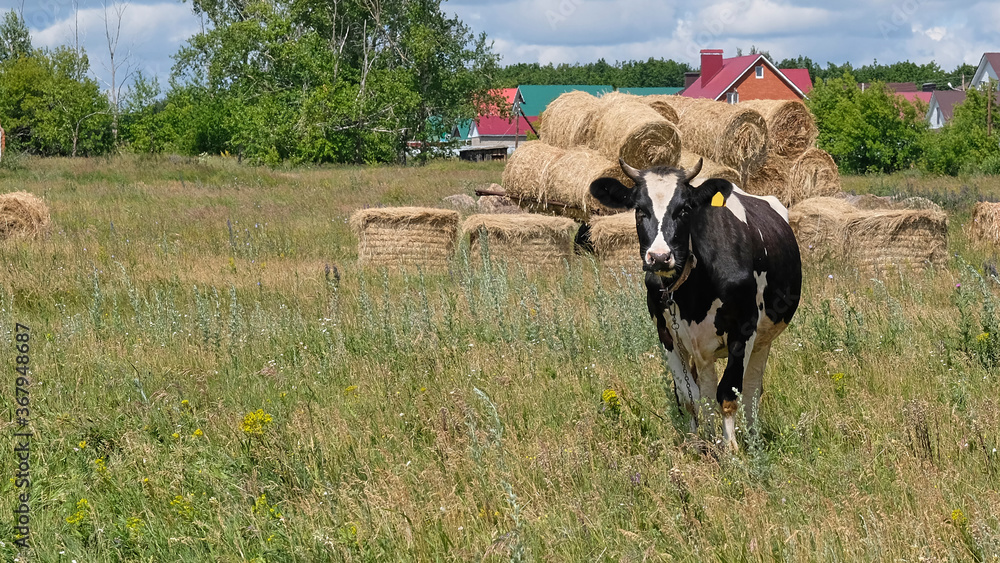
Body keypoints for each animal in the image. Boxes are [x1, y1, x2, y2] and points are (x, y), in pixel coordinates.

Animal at [590, 158, 801, 450]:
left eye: (684, 209)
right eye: (639, 210)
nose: (659, 257)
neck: (693, 290)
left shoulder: (744, 329)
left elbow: (728, 394)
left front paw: (731, 450)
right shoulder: (666, 333)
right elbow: (689, 395)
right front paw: (699, 444)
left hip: (763, 339)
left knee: (751, 390)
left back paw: (752, 438)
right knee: (706, 387)